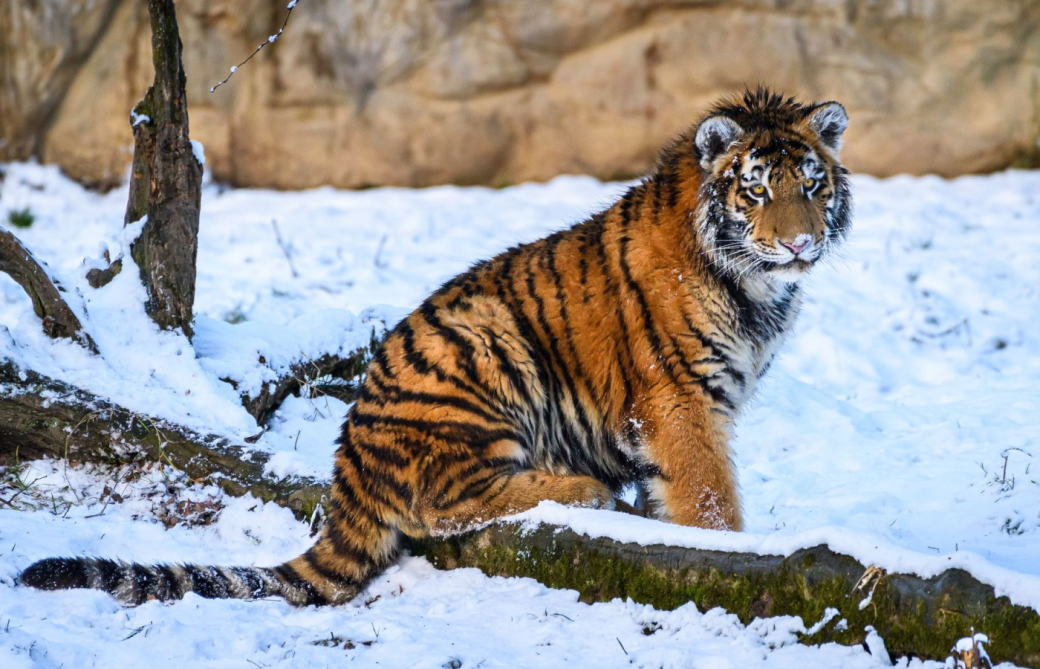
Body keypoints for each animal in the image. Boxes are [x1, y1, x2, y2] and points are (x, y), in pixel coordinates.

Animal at [20, 87, 848, 607]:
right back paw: (582, 489)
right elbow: (712, 504)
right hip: (485, 344)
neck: (756, 287)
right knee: (442, 503)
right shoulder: (682, 403)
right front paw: (732, 552)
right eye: (755, 189)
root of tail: (348, 462)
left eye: (813, 184)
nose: (800, 243)